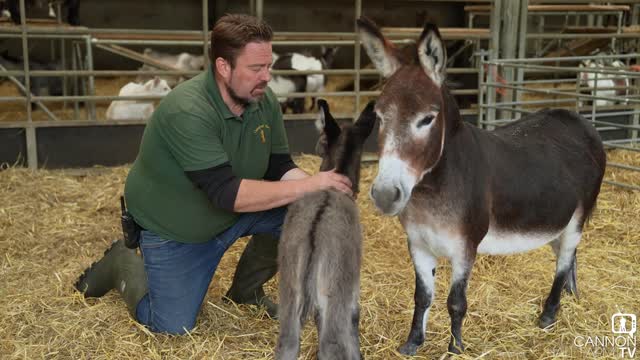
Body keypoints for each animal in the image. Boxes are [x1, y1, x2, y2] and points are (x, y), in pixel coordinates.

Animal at [276, 99, 376, 360]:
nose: (316, 146)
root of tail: (313, 236)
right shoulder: (351, 291)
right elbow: (354, 323)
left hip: (291, 293)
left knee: (287, 343)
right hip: (335, 296)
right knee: (332, 344)